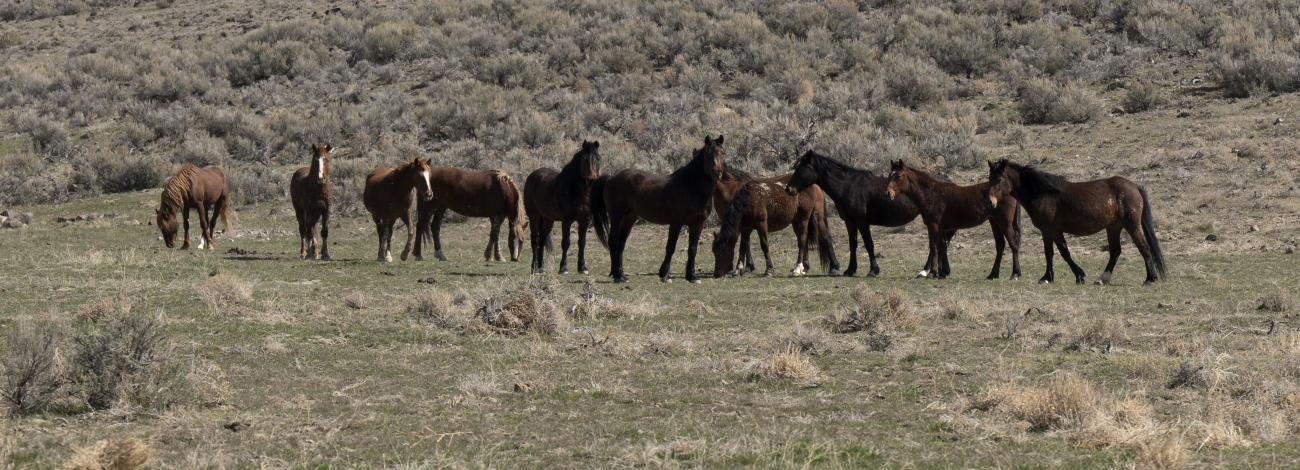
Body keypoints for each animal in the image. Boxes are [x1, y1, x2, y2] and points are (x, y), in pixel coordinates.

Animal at [524, 140, 601, 274]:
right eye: (585, 159)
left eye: (598, 158)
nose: (591, 179)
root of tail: (532, 176)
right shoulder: (567, 220)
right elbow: (566, 242)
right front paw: (563, 268)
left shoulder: (585, 220)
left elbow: (582, 243)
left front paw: (582, 267)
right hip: (534, 216)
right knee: (535, 240)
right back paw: (535, 268)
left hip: (547, 219)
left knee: (542, 239)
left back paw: (541, 268)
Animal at [593, 135, 726, 283]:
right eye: (708, 153)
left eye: (722, 152)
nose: (718, 172)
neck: (691, 187)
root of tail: (611, 178)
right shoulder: (676, 223)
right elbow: (671, 247)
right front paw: (664, 274)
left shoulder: (698, 224)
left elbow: (693, 249)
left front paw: (692, 276)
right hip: (616, 217)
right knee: (613, 242)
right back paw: (617, 276)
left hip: (629, 219)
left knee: (621, 245)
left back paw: (622, 274)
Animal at [787, 150, 927, 277]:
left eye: (801, 168)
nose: (788, 189)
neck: (848, 186)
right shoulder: (850, 222)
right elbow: (853, 245)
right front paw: (850, 270)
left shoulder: (862, 222)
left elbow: (869, 244)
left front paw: (873, 271)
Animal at [885, 159, 1022, 280]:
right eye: (889, 175)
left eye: (898, 176)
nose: (888, 193)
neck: (931, 194)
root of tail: (1011, 191)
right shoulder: (940, 227)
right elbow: (941, 246)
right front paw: (942, 272)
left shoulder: (933, 224)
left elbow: (934, 247)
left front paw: (933, 273)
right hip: (995, 222)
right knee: (1000, 246)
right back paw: (993, 275)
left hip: (1005, 223)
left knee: (1013, 244)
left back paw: (1015, 274)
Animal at [986, 159, 1167, 285]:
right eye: (989, 178)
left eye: (999, 179)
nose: (990, 202)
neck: (1043, 193)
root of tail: (1135, 186)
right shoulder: (1051, 231)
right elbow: (1057, 252)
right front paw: (1057, 276)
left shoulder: (1050, 230)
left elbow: (1058, 253)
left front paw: (1058, 277)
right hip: (1113, 227)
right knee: (1115, 252)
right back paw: (1102, 279)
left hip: (1132, 225)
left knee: (1144, 248)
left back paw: (1150, 279)